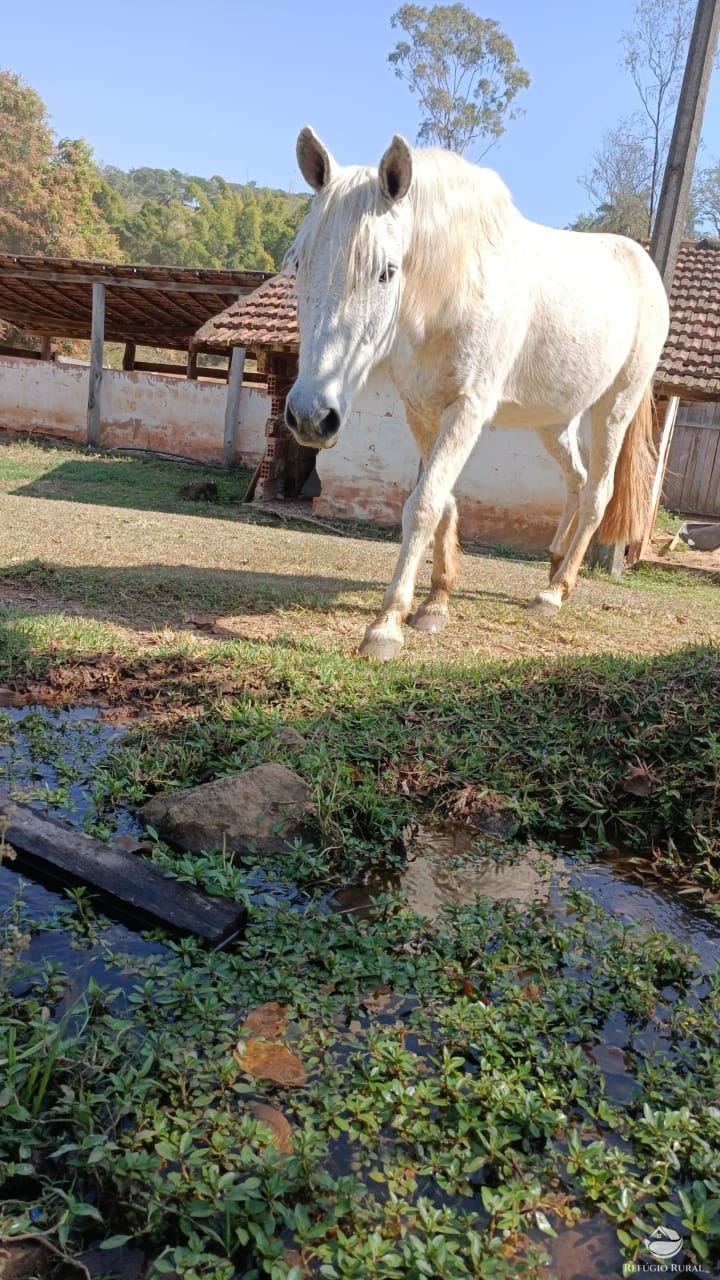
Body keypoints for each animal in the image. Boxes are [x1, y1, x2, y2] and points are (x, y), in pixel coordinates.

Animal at [281, 126, 666, 660]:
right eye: (300, 262)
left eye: (386, 271)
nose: (311, 416)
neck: (454, 288)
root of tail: (643, 264)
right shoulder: (421, 411)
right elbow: (442, 500)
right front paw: (436, 603)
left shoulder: (467, 411)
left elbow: (423, 504)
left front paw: (387, 625)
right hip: (553, 422)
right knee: (576, 480)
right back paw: (552, 562)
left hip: (613, 409)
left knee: (597, 493)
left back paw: (555, 592)